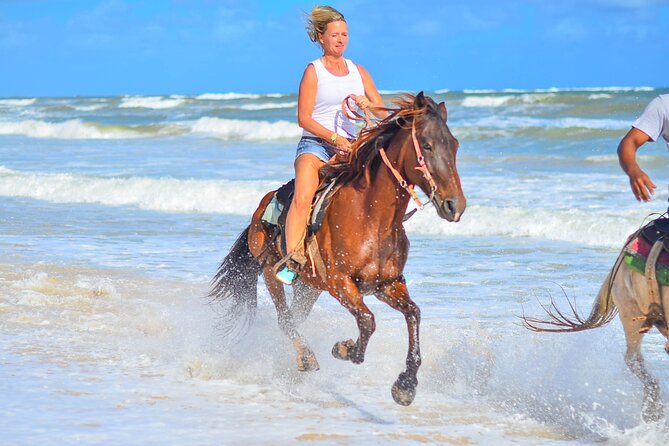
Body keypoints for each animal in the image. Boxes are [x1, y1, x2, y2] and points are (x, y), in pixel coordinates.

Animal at [209, 92, 466, 406]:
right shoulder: (340, 282)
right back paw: (307, 358)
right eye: (427, 145)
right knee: (285, 319)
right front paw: (345, 349)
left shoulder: (387, 284)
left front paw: (406, 385)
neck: (372, 217)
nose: (455, 205)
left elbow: (413, 315)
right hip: (272, 274)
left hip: (309, 288)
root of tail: (261, 208)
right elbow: (368, 320)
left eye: (454, 145)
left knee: (296, 317)